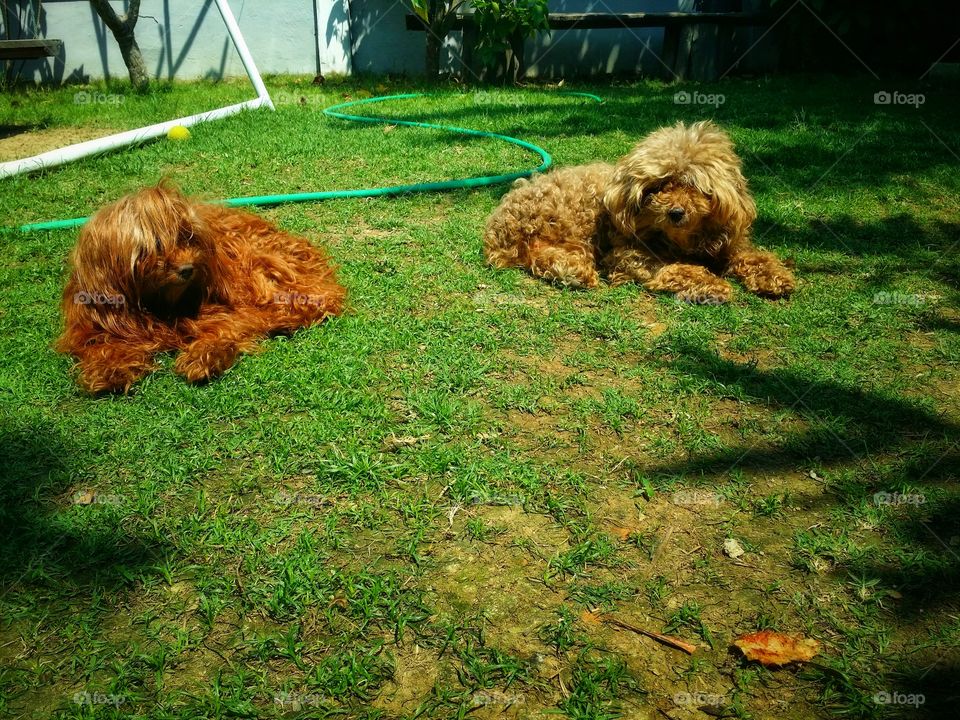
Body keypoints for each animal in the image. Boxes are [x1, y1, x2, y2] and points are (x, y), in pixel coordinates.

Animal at [57, 183, 344, 390]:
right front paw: (110, 370)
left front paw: (204, 357)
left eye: (187, 236)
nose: (187, 269)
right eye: (155, 246)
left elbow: (227, 327)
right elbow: (102, 344)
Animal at [488, 121, 796, 300]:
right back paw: (576, 272)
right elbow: (674, 268)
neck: (684, 239)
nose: (675, 213)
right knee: (541, 255)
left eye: (693, 186)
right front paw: (713, 284)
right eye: (659, 186)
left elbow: (754, 257)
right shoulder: (628, 254)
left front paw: (776, 277)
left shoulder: (729, 243)